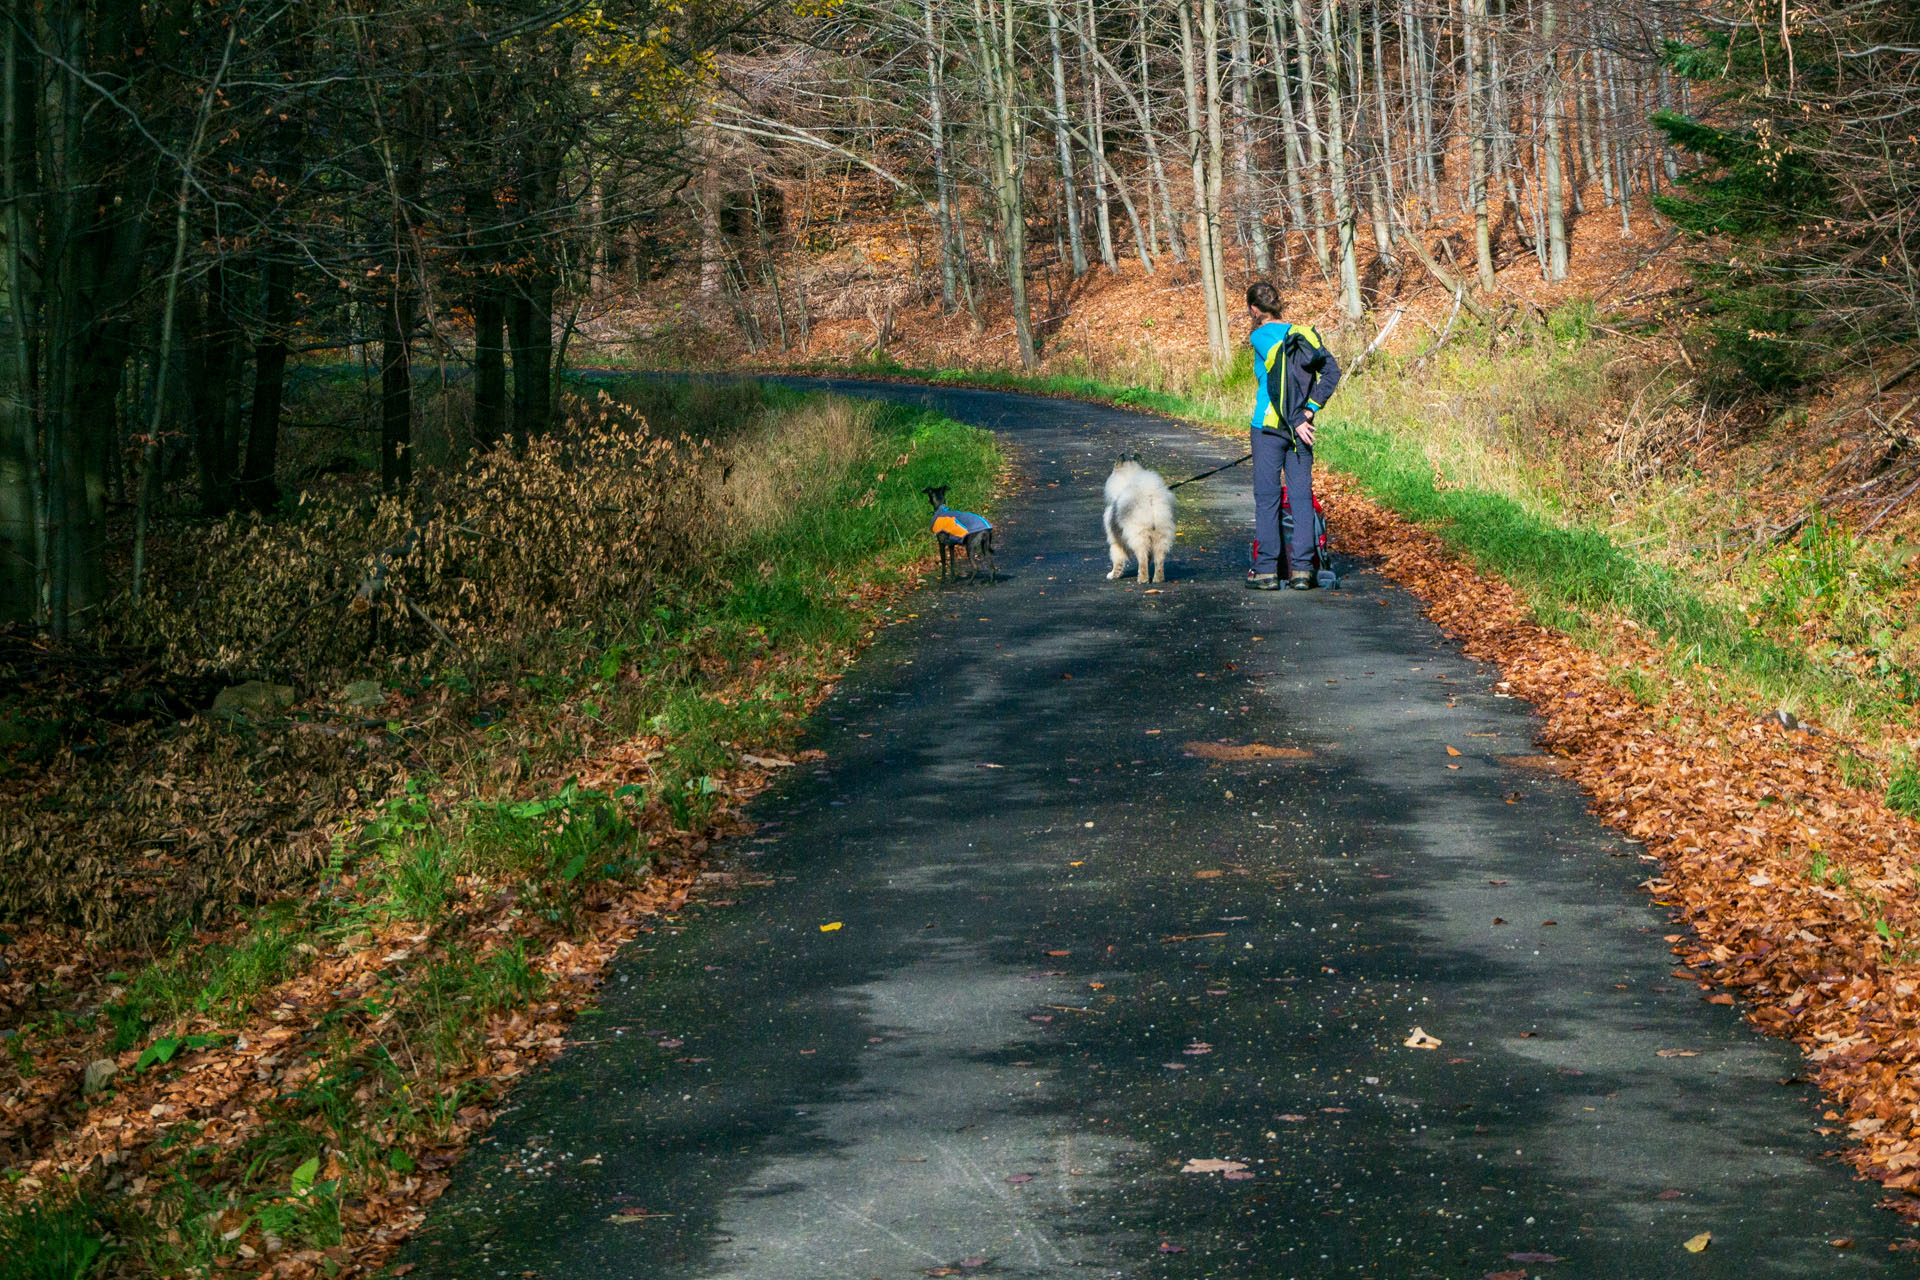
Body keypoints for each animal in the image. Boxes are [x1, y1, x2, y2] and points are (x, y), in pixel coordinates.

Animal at [1105, 454, 1175, 587]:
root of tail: (1150, 497)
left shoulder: (1115, 538)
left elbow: (1117, 559)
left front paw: (1113, 575)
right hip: (1161, 536)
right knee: (1159, 560)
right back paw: (1158, 578)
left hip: (1138, 536)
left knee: (1142, 559)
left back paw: (1142, 579)